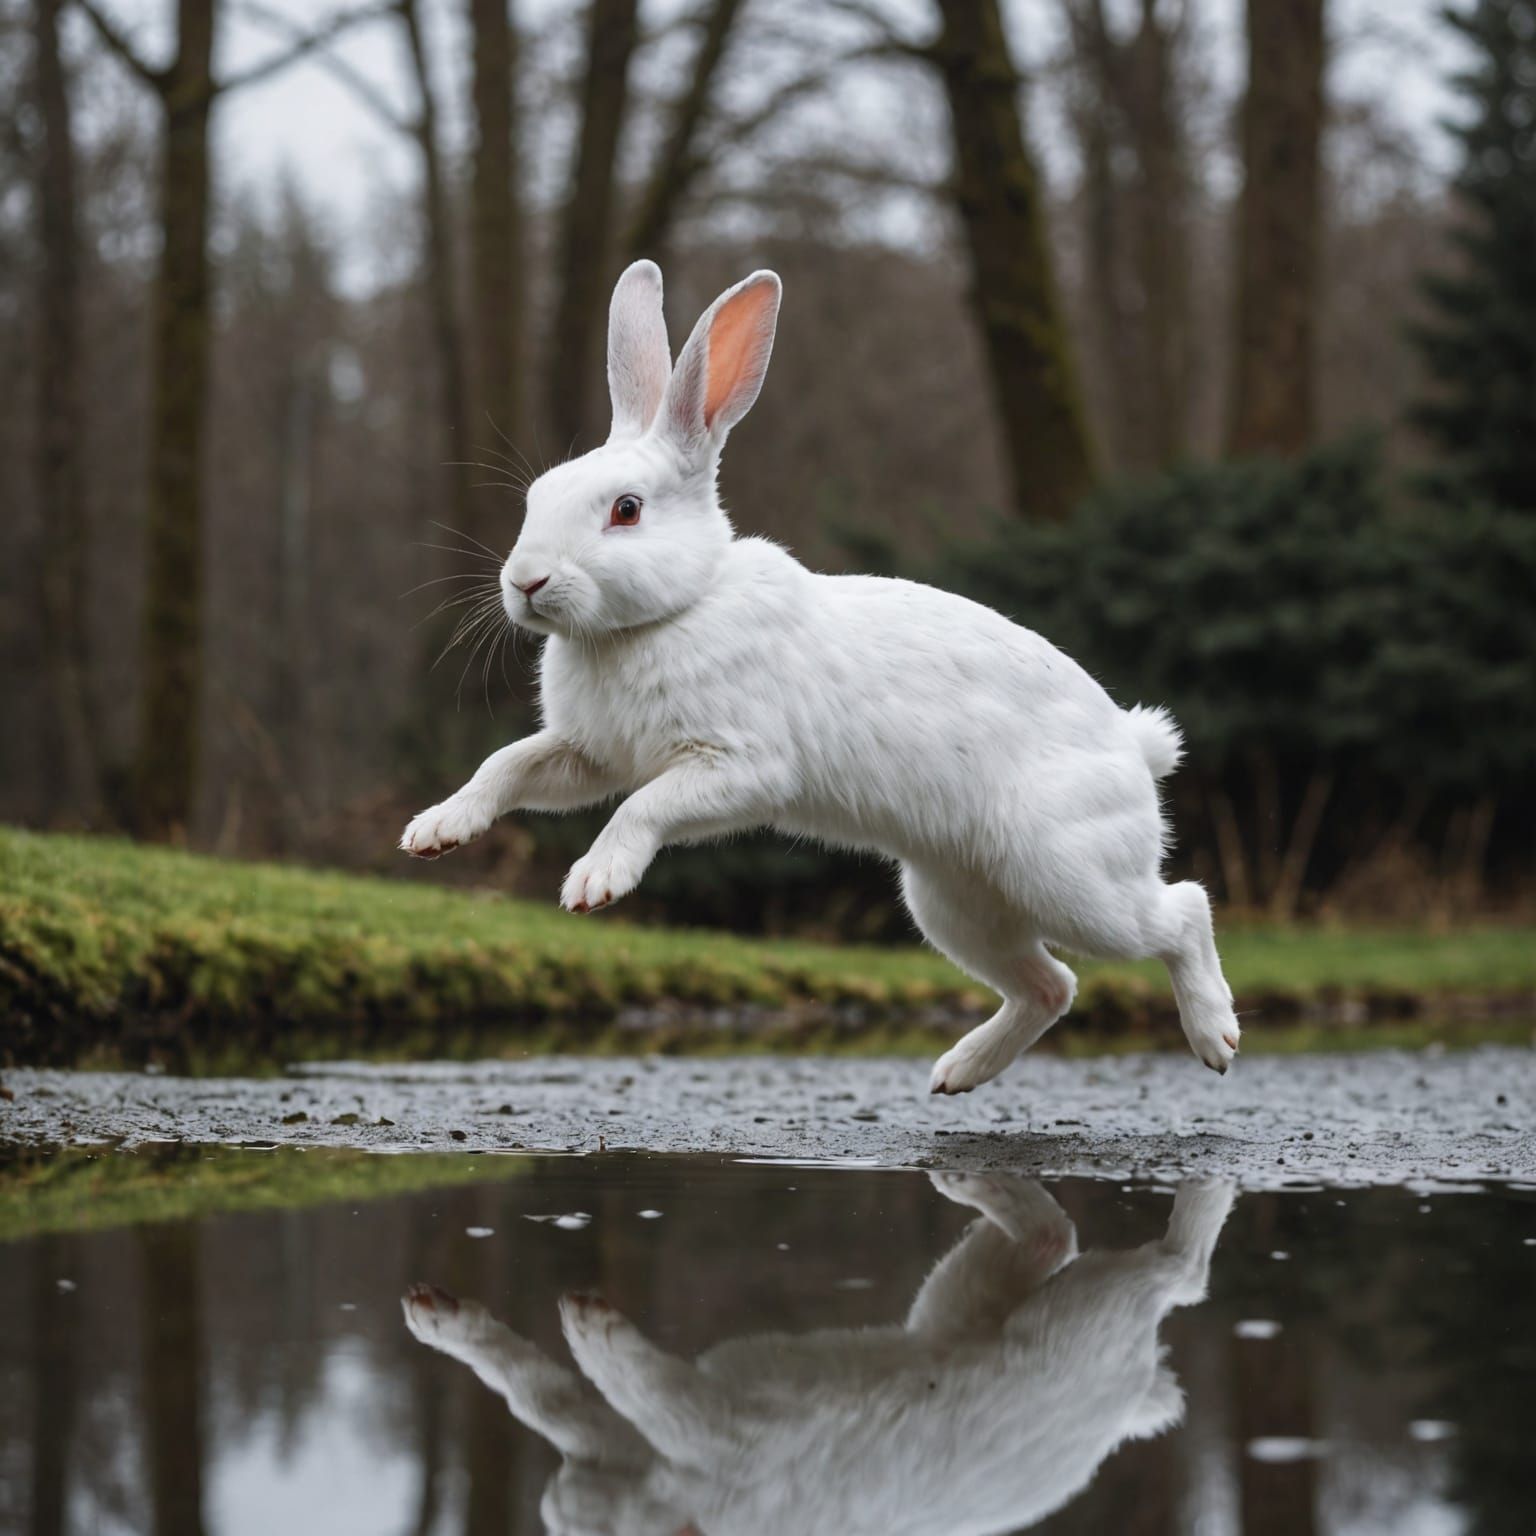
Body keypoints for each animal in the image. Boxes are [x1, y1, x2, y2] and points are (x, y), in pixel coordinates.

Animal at [400, 259, 1241, 1093]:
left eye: (627, 510)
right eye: (536, 497)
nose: (526, 582)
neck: (670, 611)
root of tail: (1133, 747)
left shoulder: (737, 768)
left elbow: (640, 810)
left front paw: (593, 883)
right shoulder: (591, 755)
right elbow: (508, 765)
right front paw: (434, 833)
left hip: (1071, 878)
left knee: (1181, 912)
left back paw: (1215, 1039)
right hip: (954, 900)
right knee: (1050, 986)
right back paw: (956, 1074)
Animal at [402, 1175, 1237, 1536]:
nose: (557, 1501)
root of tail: (1129, 1408)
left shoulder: (722, 1431)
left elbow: (629, 1385)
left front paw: (587, 1328)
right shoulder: (629, 1443)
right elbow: (535, 1393)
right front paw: (438, 1316)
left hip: (1087, 1312)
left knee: (1172, 1275)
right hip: (967, 1299)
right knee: (1047, 1237)